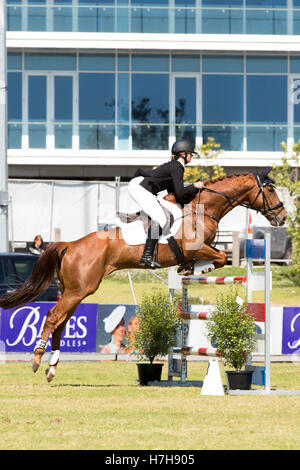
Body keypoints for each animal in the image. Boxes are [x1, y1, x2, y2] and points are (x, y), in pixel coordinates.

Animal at [0, 167, 288, 380]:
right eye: (270, 189)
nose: (283, 217)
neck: (202, 207)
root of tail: (71, 244)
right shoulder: (194, 246)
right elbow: (220, 259)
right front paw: (197, 268)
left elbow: (218, 259)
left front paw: (189, 268)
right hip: (79, 290)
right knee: (52, 317)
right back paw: (36, 359)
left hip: (75, 291)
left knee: (60, 324)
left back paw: (52, 367)